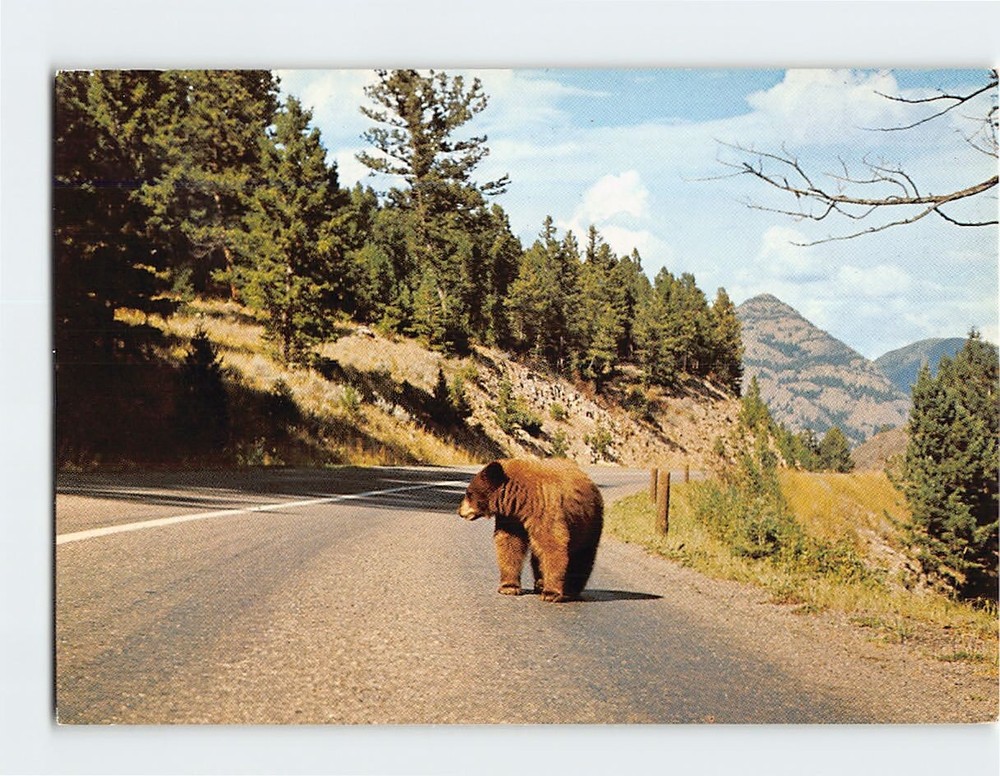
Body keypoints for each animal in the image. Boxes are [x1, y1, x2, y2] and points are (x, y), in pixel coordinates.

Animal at [457, 458, 603, 602]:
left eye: (469, 493)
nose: (460, 512)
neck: (520, 499)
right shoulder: (511, 517)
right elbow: (510, 543)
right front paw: (509, 587)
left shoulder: (544, 507)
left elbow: (552, 543)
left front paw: (551, 593)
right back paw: (540, 584)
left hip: (588, 523)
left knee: (582, 554)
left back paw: (570, 590)